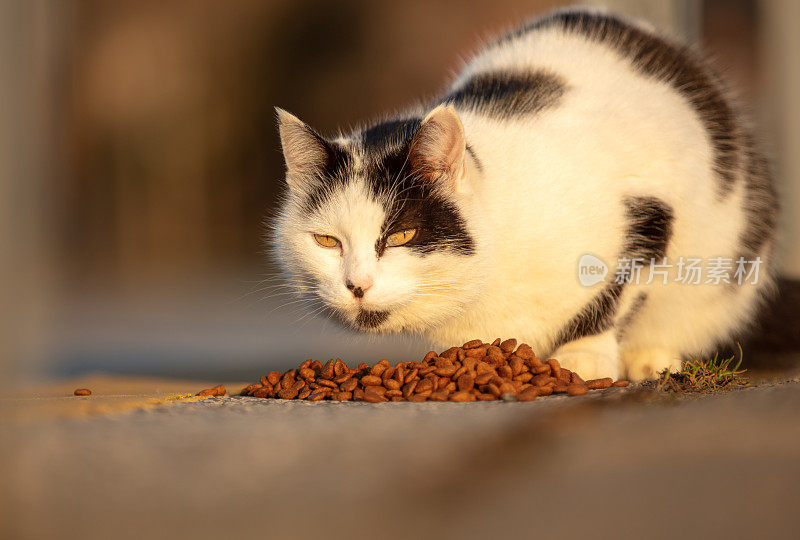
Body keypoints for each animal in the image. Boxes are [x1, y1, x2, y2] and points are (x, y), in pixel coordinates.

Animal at [272, 8, 780, 380]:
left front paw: (584, 358)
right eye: (326, 241)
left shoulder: (650, 208)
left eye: (401, 235)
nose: (357, 286)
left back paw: (651, 357)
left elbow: (615, 294)